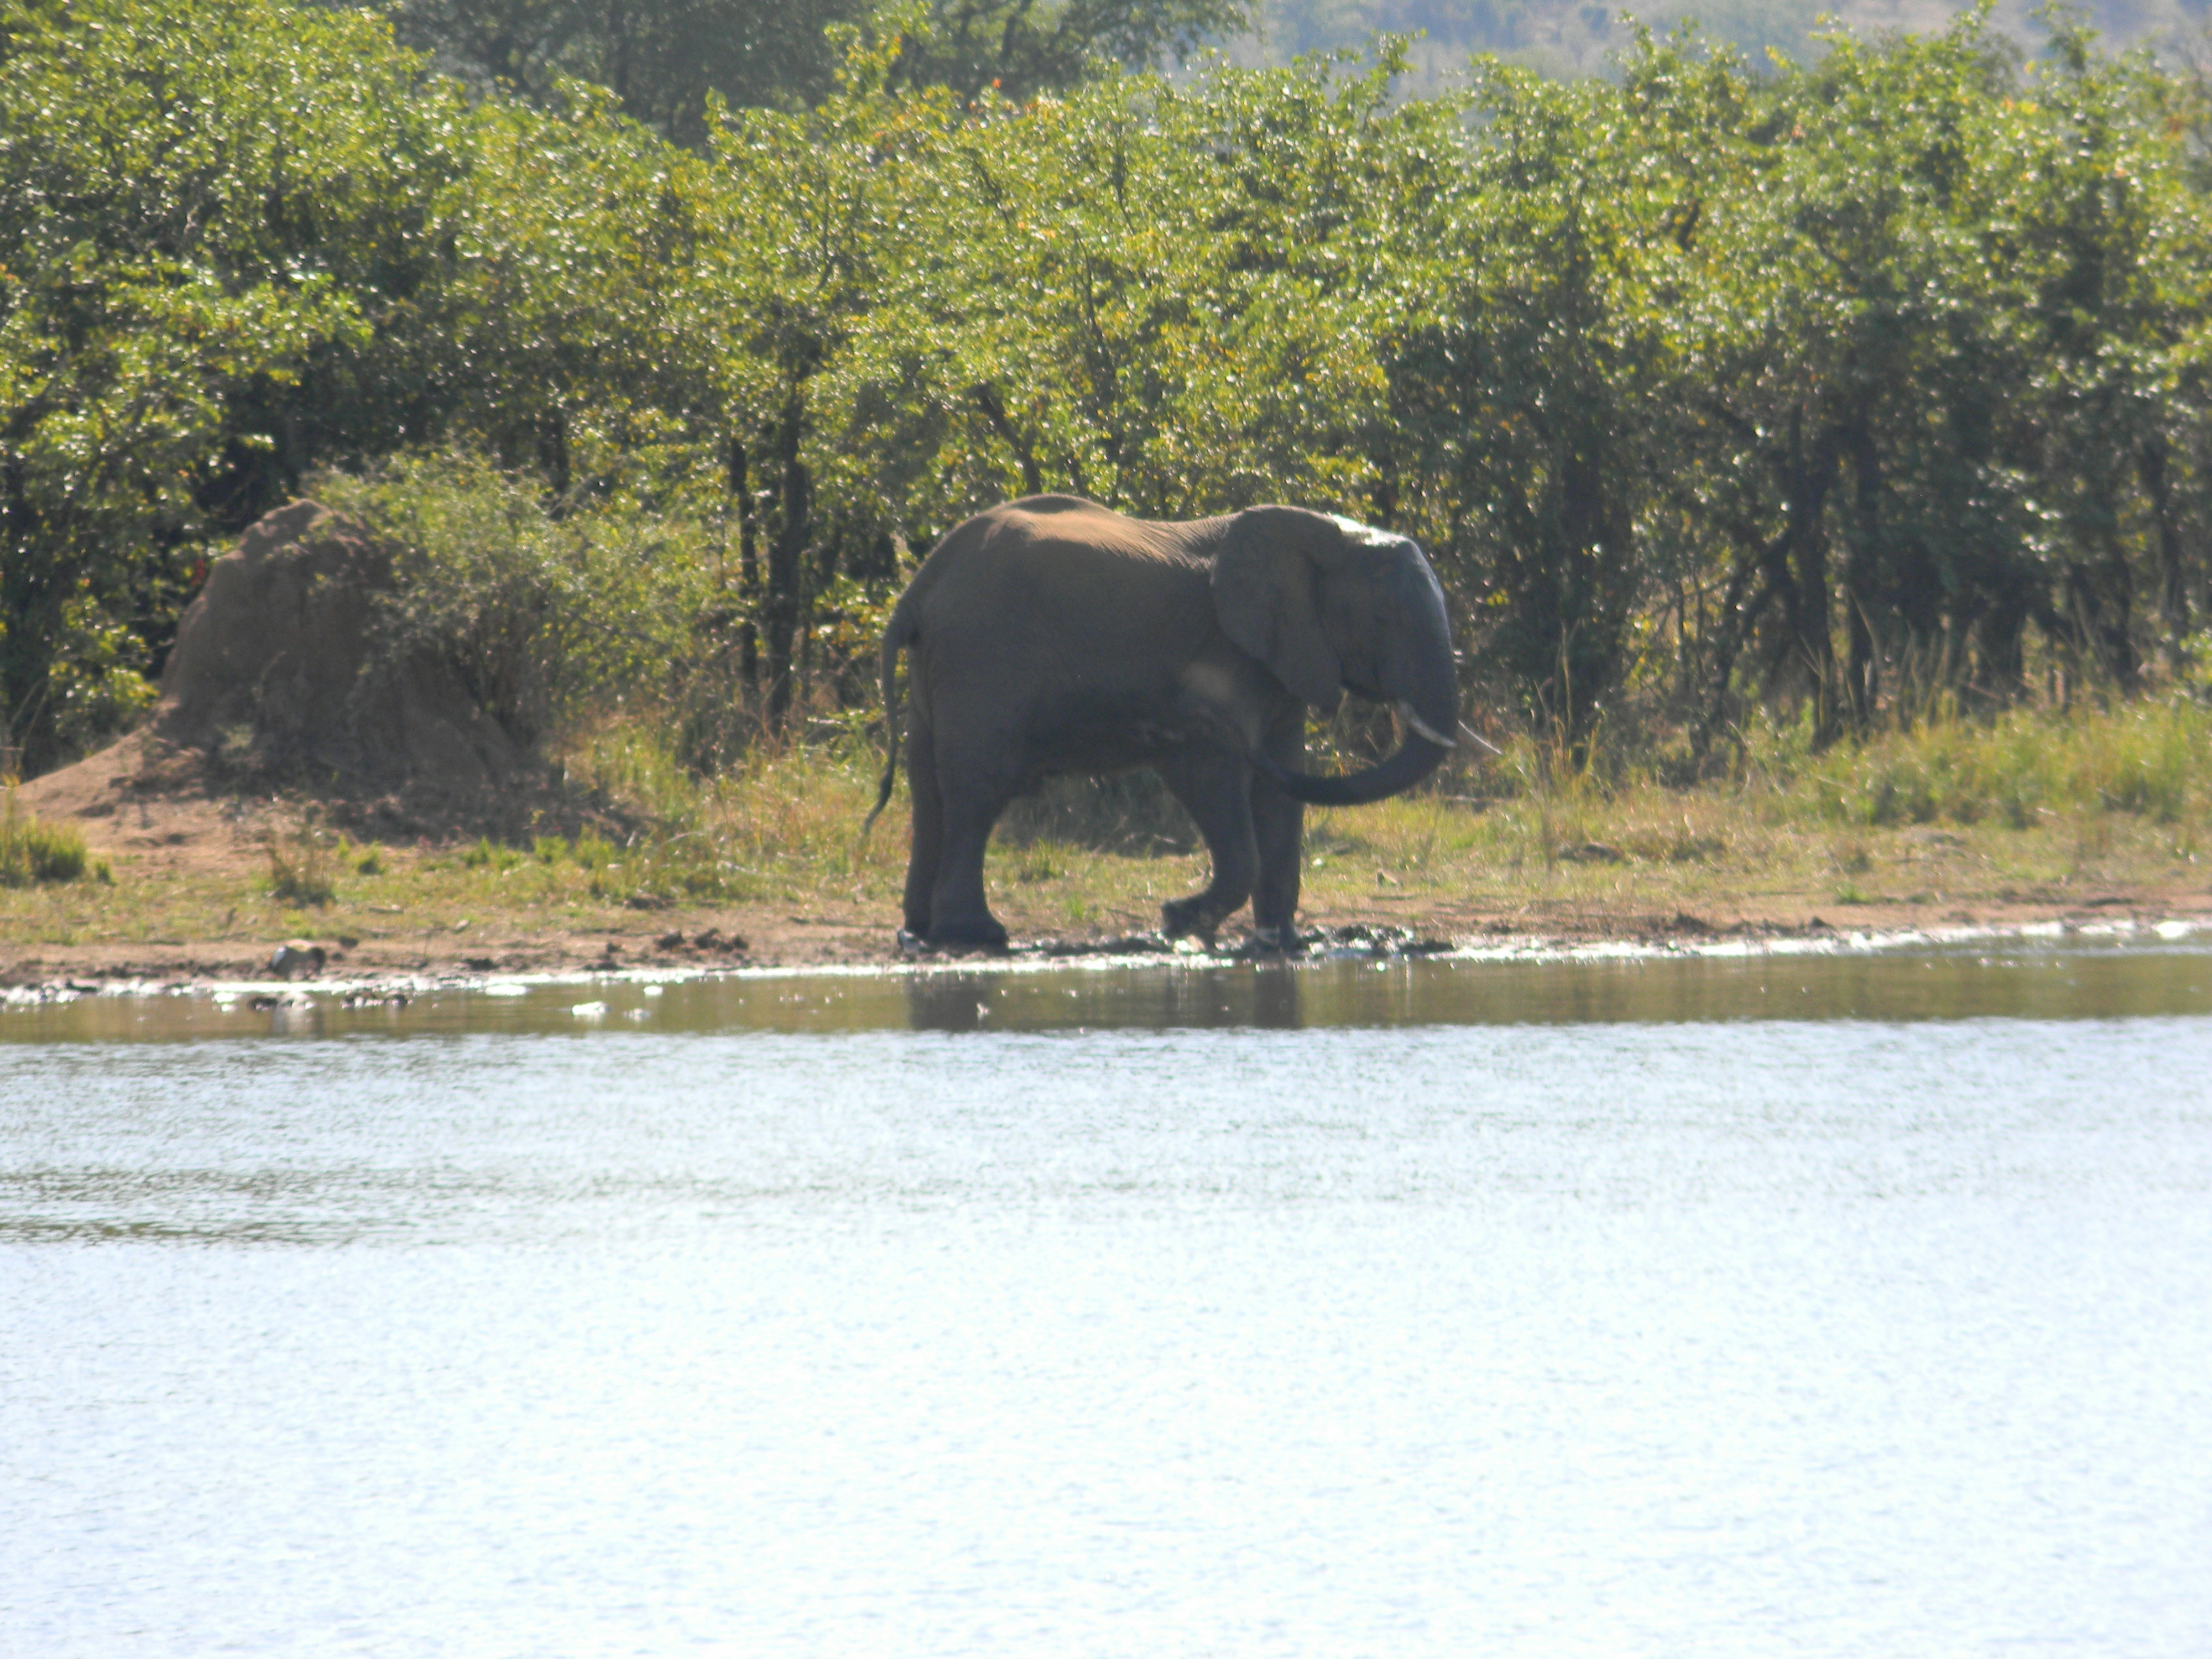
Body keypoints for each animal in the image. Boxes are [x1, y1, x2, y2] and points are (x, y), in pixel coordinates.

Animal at [864, 495, 1460, 950]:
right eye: (1380, 619)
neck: (1316, 531)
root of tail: (919, 588)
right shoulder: (1225, 662)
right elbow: (1208, 773)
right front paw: (1177, 920)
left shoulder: (1283, 654)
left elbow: (1279, 790)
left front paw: (1277, 944)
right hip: (982, 659)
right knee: (979, 787)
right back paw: (976, 935)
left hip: (943, 667)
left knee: (928, 787)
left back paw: (921, 931)